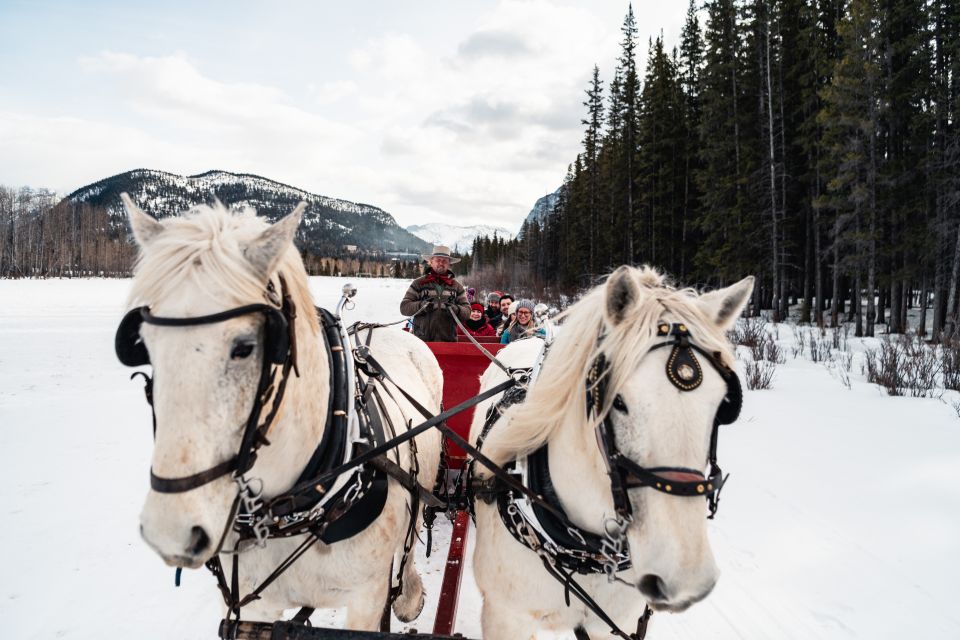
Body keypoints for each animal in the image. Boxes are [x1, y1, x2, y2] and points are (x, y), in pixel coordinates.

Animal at [119, 196, 442, 632]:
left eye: (245, 346)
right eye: (145, 345)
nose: (170, 532)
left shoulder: (367, 598)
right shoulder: (254, 606)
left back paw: (409, 594)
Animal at [468, 264, 752, 640]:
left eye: (722, 405)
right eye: (618, 401)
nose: (686, 577)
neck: (583, 550)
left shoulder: (621, 623)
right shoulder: (505, 616)